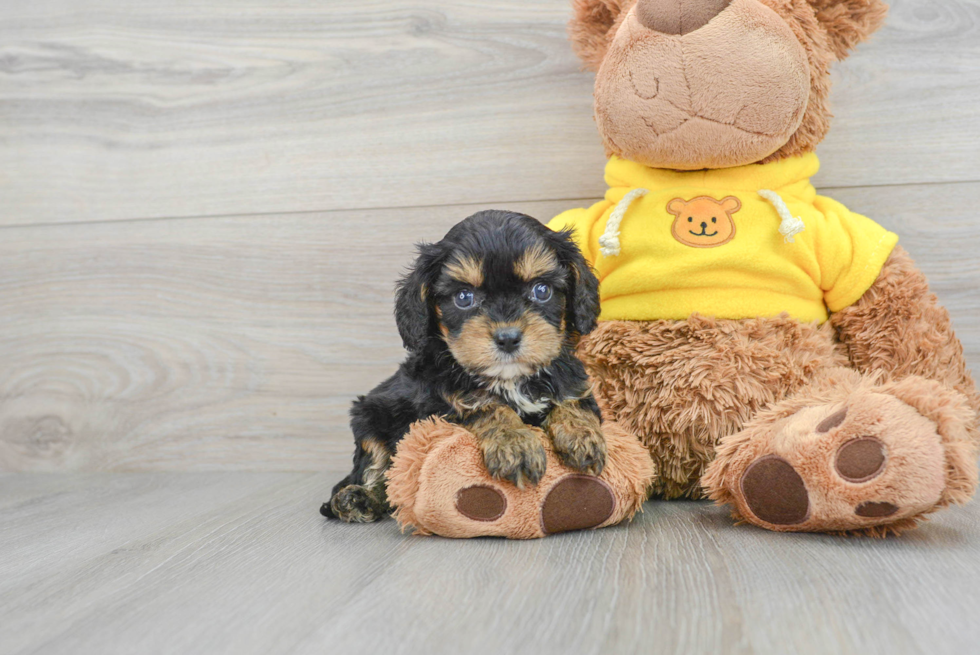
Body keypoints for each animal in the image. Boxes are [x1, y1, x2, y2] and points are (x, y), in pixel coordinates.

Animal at [322, 210, 604, 524]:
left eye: (541, 290)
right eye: (464, 298)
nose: (508, 338)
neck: (510, 379)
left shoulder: (573, 379)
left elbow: (573, 400)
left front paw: (581, 435)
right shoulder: (438, 404)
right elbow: (486, 406)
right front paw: (514, 443)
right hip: (369, 416)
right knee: (376, 470)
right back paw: (356, 500)